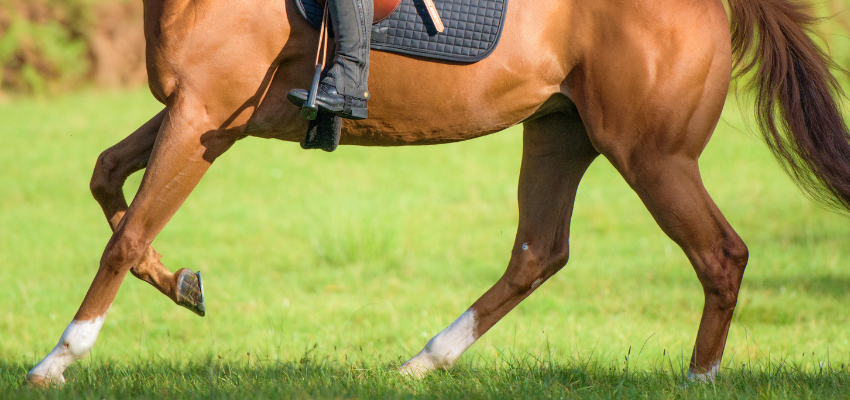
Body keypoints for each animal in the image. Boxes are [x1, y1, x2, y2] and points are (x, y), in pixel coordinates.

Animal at [23, 0, 848, 384]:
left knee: (720, 255)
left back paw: (699, 377)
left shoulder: (202, 115)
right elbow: (107, 179)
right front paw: (183, 284)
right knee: (537, 252)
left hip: (654, 155)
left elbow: (123, 234)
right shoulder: (205, 117)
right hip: (560, 133)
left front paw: (60, 359)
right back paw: (427, 360)